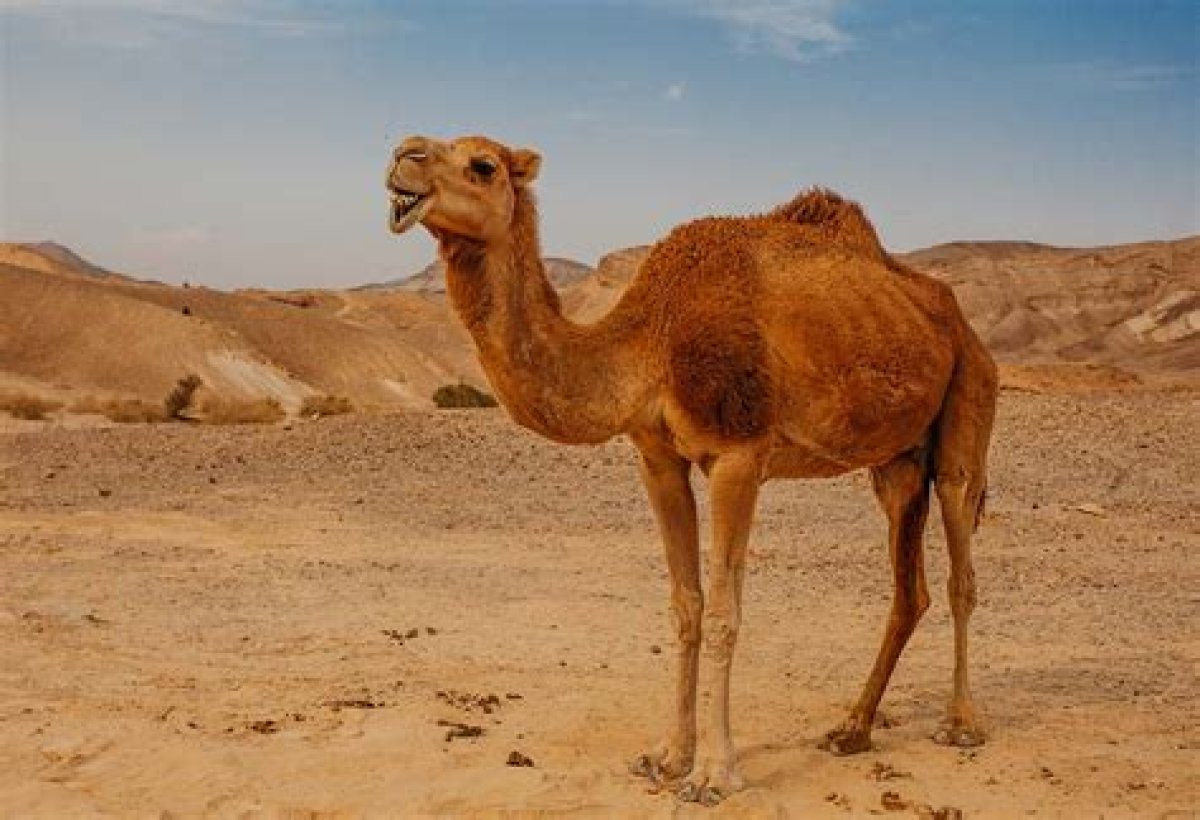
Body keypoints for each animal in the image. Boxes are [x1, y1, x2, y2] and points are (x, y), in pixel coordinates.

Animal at [385, 134, 998, 804]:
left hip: (969, 399)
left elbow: (727, 611)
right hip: (896, 462)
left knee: (961, 565)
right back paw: (852, 729)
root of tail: (959, 319)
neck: (649, 340)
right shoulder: (657, 457)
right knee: (908, 587)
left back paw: (962, 724)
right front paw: (668, 756)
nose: (404, 155)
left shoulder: (738, 455)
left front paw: (714, 773)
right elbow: (686, 605)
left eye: (483, 165)